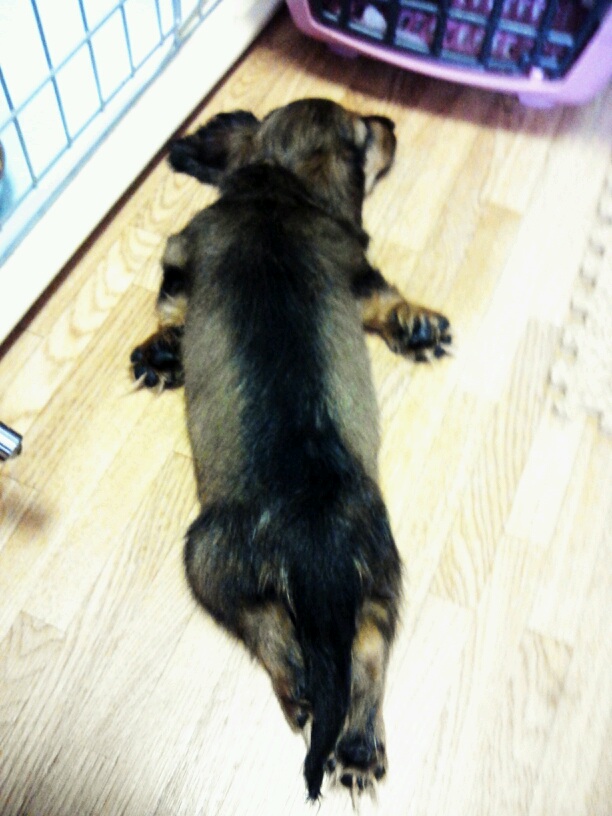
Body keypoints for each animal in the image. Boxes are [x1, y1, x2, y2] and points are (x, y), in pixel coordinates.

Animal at [130, 98, 451, 801]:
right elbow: (385, 298)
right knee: (368, 648)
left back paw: (301, 689)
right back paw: (357, 748)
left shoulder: (180, 249)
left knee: (269, 627)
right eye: (367, 131)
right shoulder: (354, 269)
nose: (391, 122)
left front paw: (163, 350)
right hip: (381, 572)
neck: (276, 187)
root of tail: (316, 545)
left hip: (206, 558)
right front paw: (417, 326)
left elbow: (170, 301)